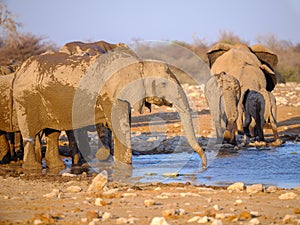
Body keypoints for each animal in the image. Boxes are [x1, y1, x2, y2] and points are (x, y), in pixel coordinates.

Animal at [12, 44, 207, 170]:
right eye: (164, 84)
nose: (203, 165)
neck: (138, 63)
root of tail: (20, 68)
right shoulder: (112, 95)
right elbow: (120, 127)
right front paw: (124, 168)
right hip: (25, 99)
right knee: (30, 133)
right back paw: (31, 168)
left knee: (52, 132)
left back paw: (56, 167)